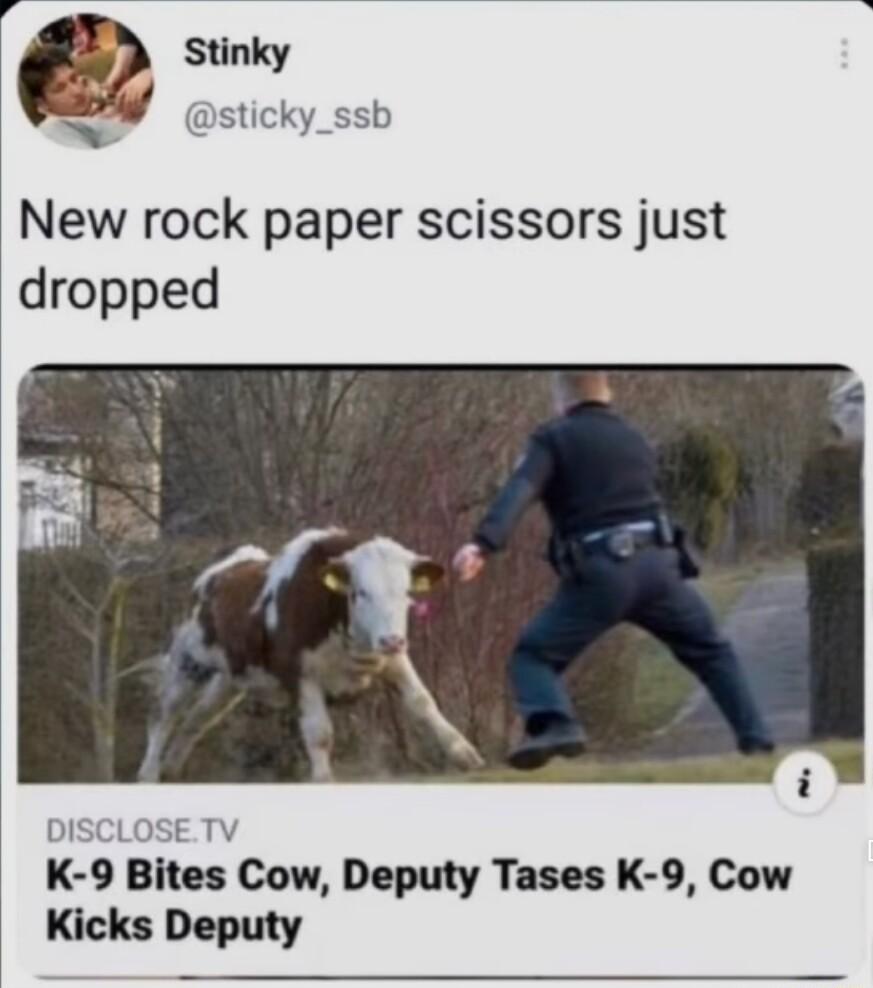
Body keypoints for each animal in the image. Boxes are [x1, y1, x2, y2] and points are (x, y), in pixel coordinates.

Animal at [137, 528, 485, 782]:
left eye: (406, 592)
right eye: (361, 592)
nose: (391, 640)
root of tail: (217, 572)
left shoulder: (394, 662)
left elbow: (423, 703)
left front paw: (464, 753)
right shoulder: (300, 673)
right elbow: (319, 732)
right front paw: (323, 778)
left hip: (229, 680)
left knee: (197, 718)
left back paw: (171, 766)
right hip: (188, 662)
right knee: (163, 714)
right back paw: (150, 771)